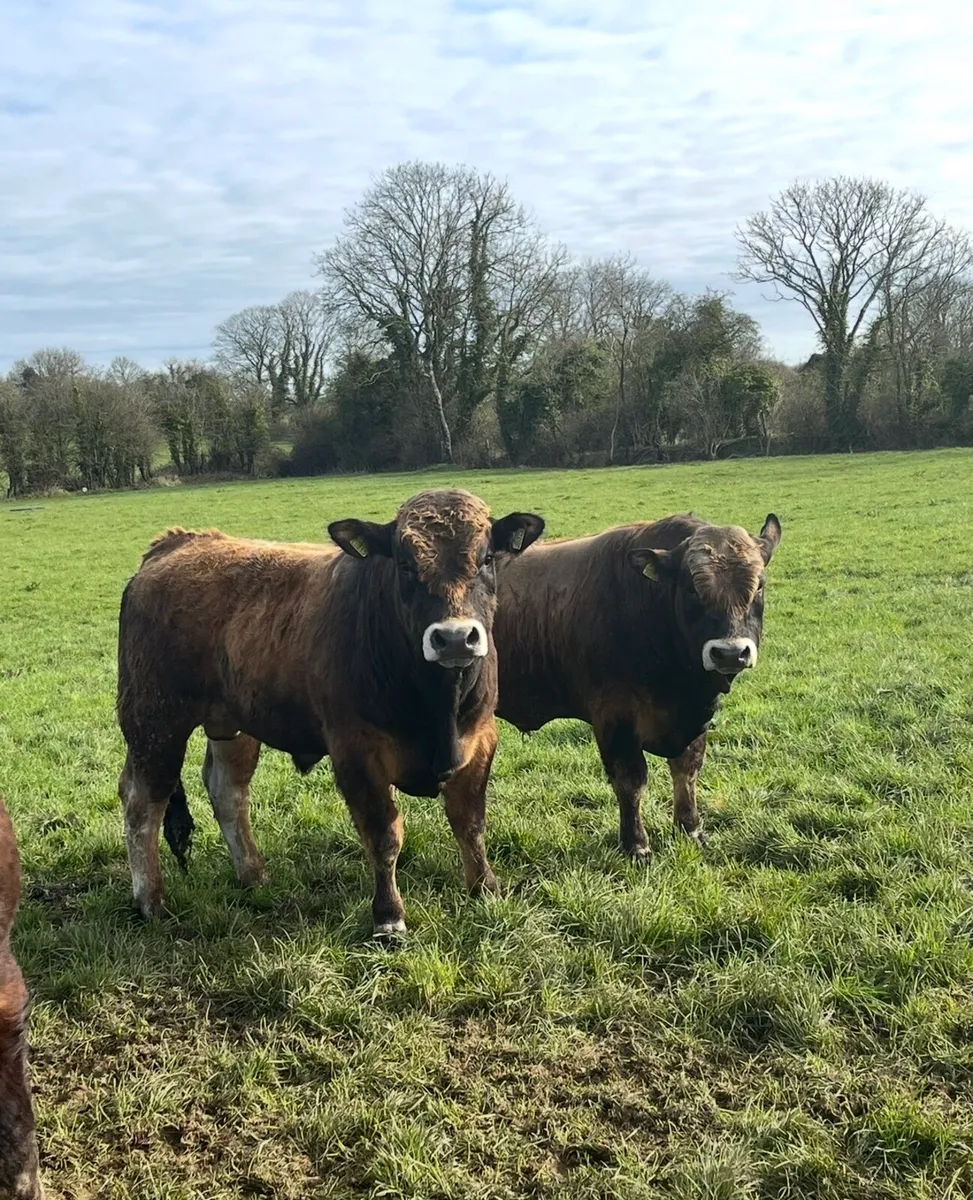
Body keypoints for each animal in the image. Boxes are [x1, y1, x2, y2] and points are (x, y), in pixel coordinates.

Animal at [116, 489, 544, 936]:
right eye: (405, 563)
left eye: (487, 558)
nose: (456, 638)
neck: (438, 704)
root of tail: (177, 542)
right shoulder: (356, 752)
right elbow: (384, 835)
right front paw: (389, 916)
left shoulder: (479, 741)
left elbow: (470, 823)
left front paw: (485, 888)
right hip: (154, 720)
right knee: (142, 802)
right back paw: (151, 900)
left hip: (232, 725)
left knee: (228, 791)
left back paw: (253, 875)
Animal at [494, 512, 781, 860]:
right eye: (691, 589)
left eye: (760, 586)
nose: (729, 652)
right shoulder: (614, 717)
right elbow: (631, 781)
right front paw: (636, 845)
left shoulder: (696, 718)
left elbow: (687, 770)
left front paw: (691, 829)